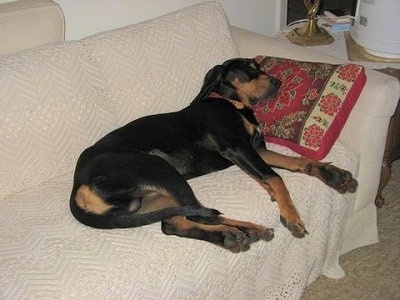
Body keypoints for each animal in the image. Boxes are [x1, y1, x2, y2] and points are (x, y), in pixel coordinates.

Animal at [70, 57, 358, 252]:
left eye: (260, 67)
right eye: (249, 69)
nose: (278, 82)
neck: (234, 105)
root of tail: (77, 185)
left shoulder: (256, 148)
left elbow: (296, 161)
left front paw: (332, 174)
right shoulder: (237, 147)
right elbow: (275, 177)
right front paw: (291, 215)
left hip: (152, 197)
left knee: (173, 223)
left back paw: (230, 235)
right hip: (159, 168)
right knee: (199, 213)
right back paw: (245, 230)